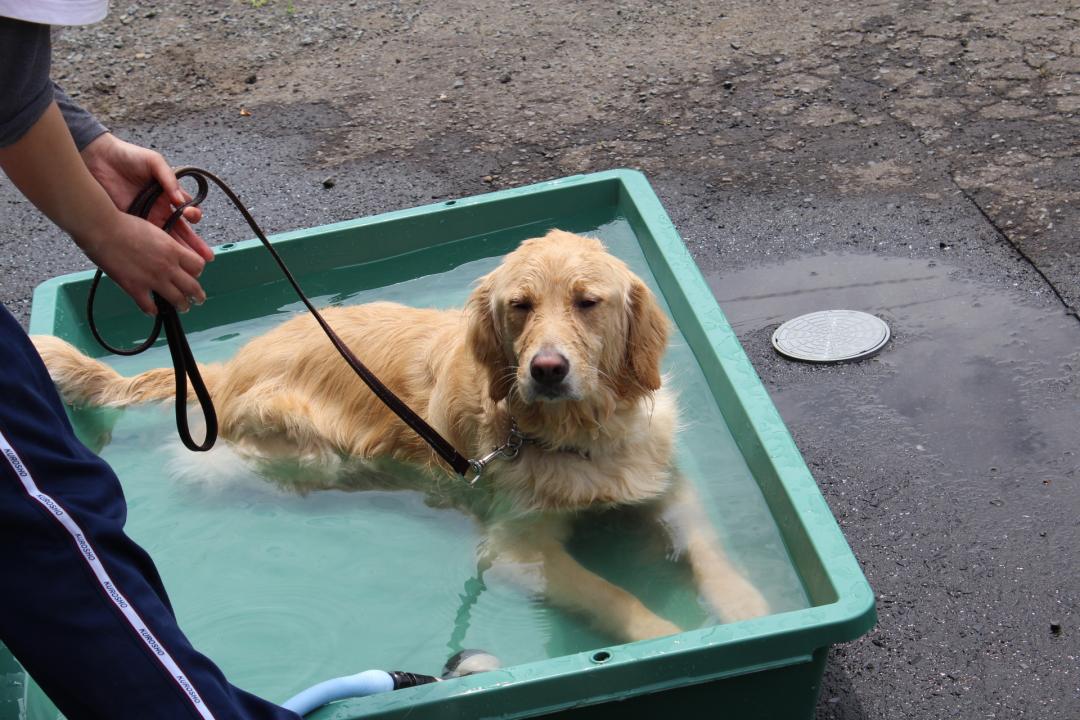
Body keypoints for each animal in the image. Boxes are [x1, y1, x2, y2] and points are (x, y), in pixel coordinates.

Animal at [33, 229, 768, 643]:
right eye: (520, 306)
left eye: (588, 302)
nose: (547, 369)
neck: (574, 434)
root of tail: (230, 366)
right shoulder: (515, 550)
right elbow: (612, 593)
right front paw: (665, 633)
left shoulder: (661, 483)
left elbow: (708, 548)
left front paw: (748, 606)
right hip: (303, 446)